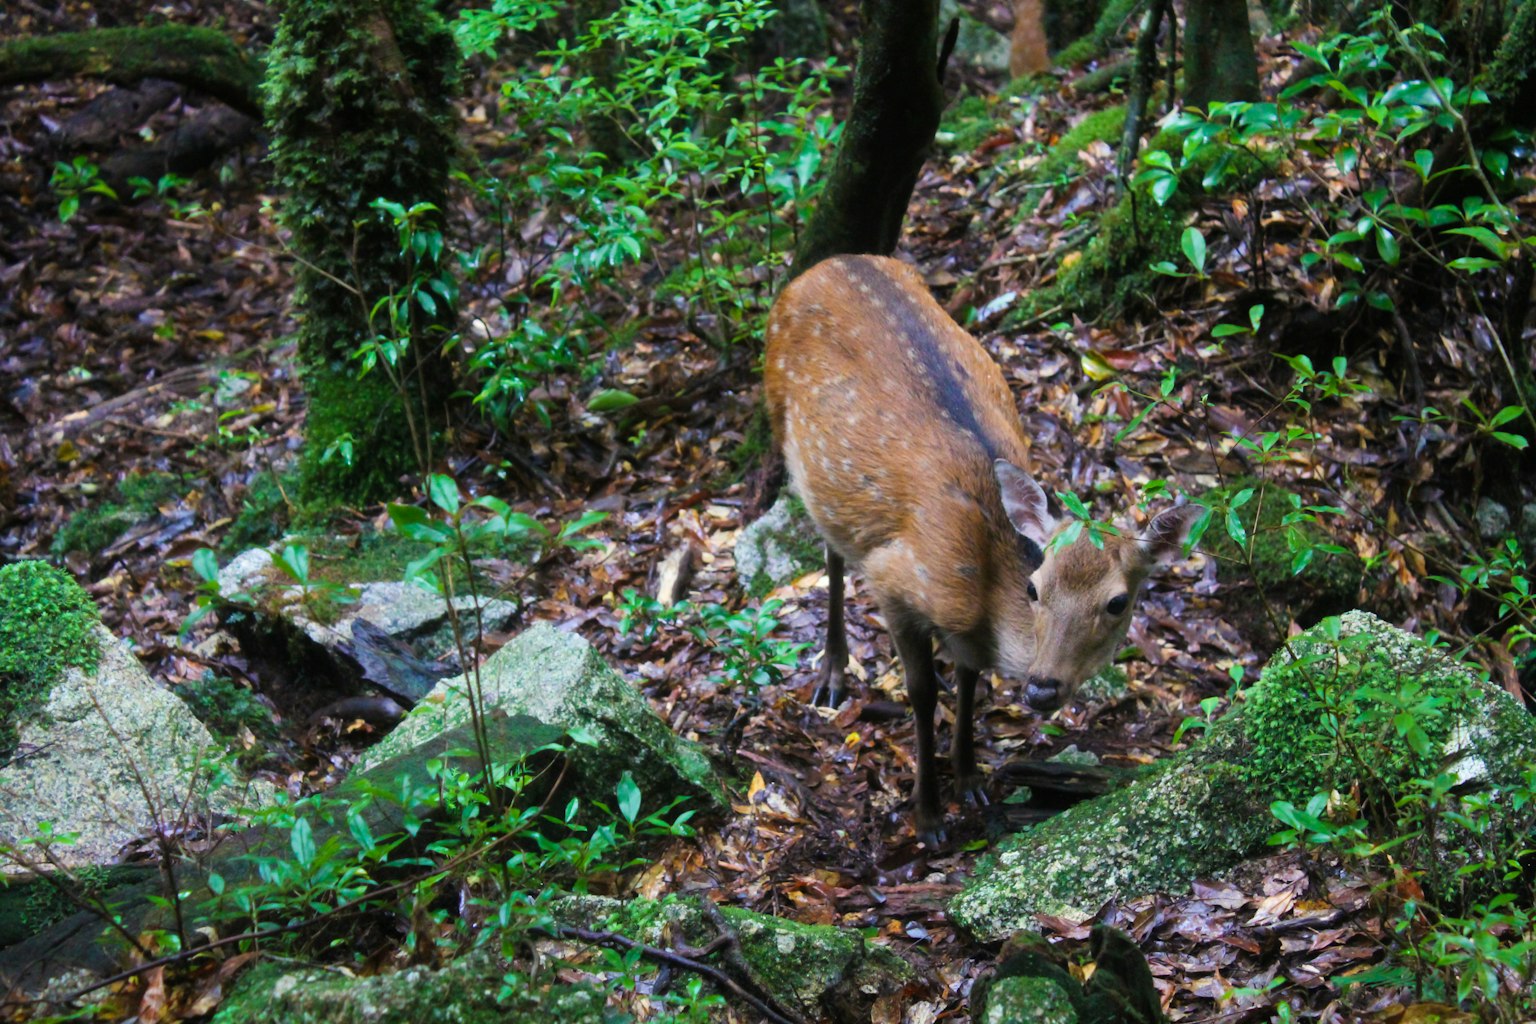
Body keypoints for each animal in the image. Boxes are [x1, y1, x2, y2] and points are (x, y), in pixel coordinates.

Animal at [763, 254, 1202, 844]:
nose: (1041, 689)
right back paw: (833, 673)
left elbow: (969, 675)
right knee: (830, 550)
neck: (983, 590)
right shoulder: (895, 580)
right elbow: (924, 691)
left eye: (1117, 602)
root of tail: (826, 263)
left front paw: (969, 776)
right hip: (783, 424)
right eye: (1035, 589)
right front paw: (928, 815)